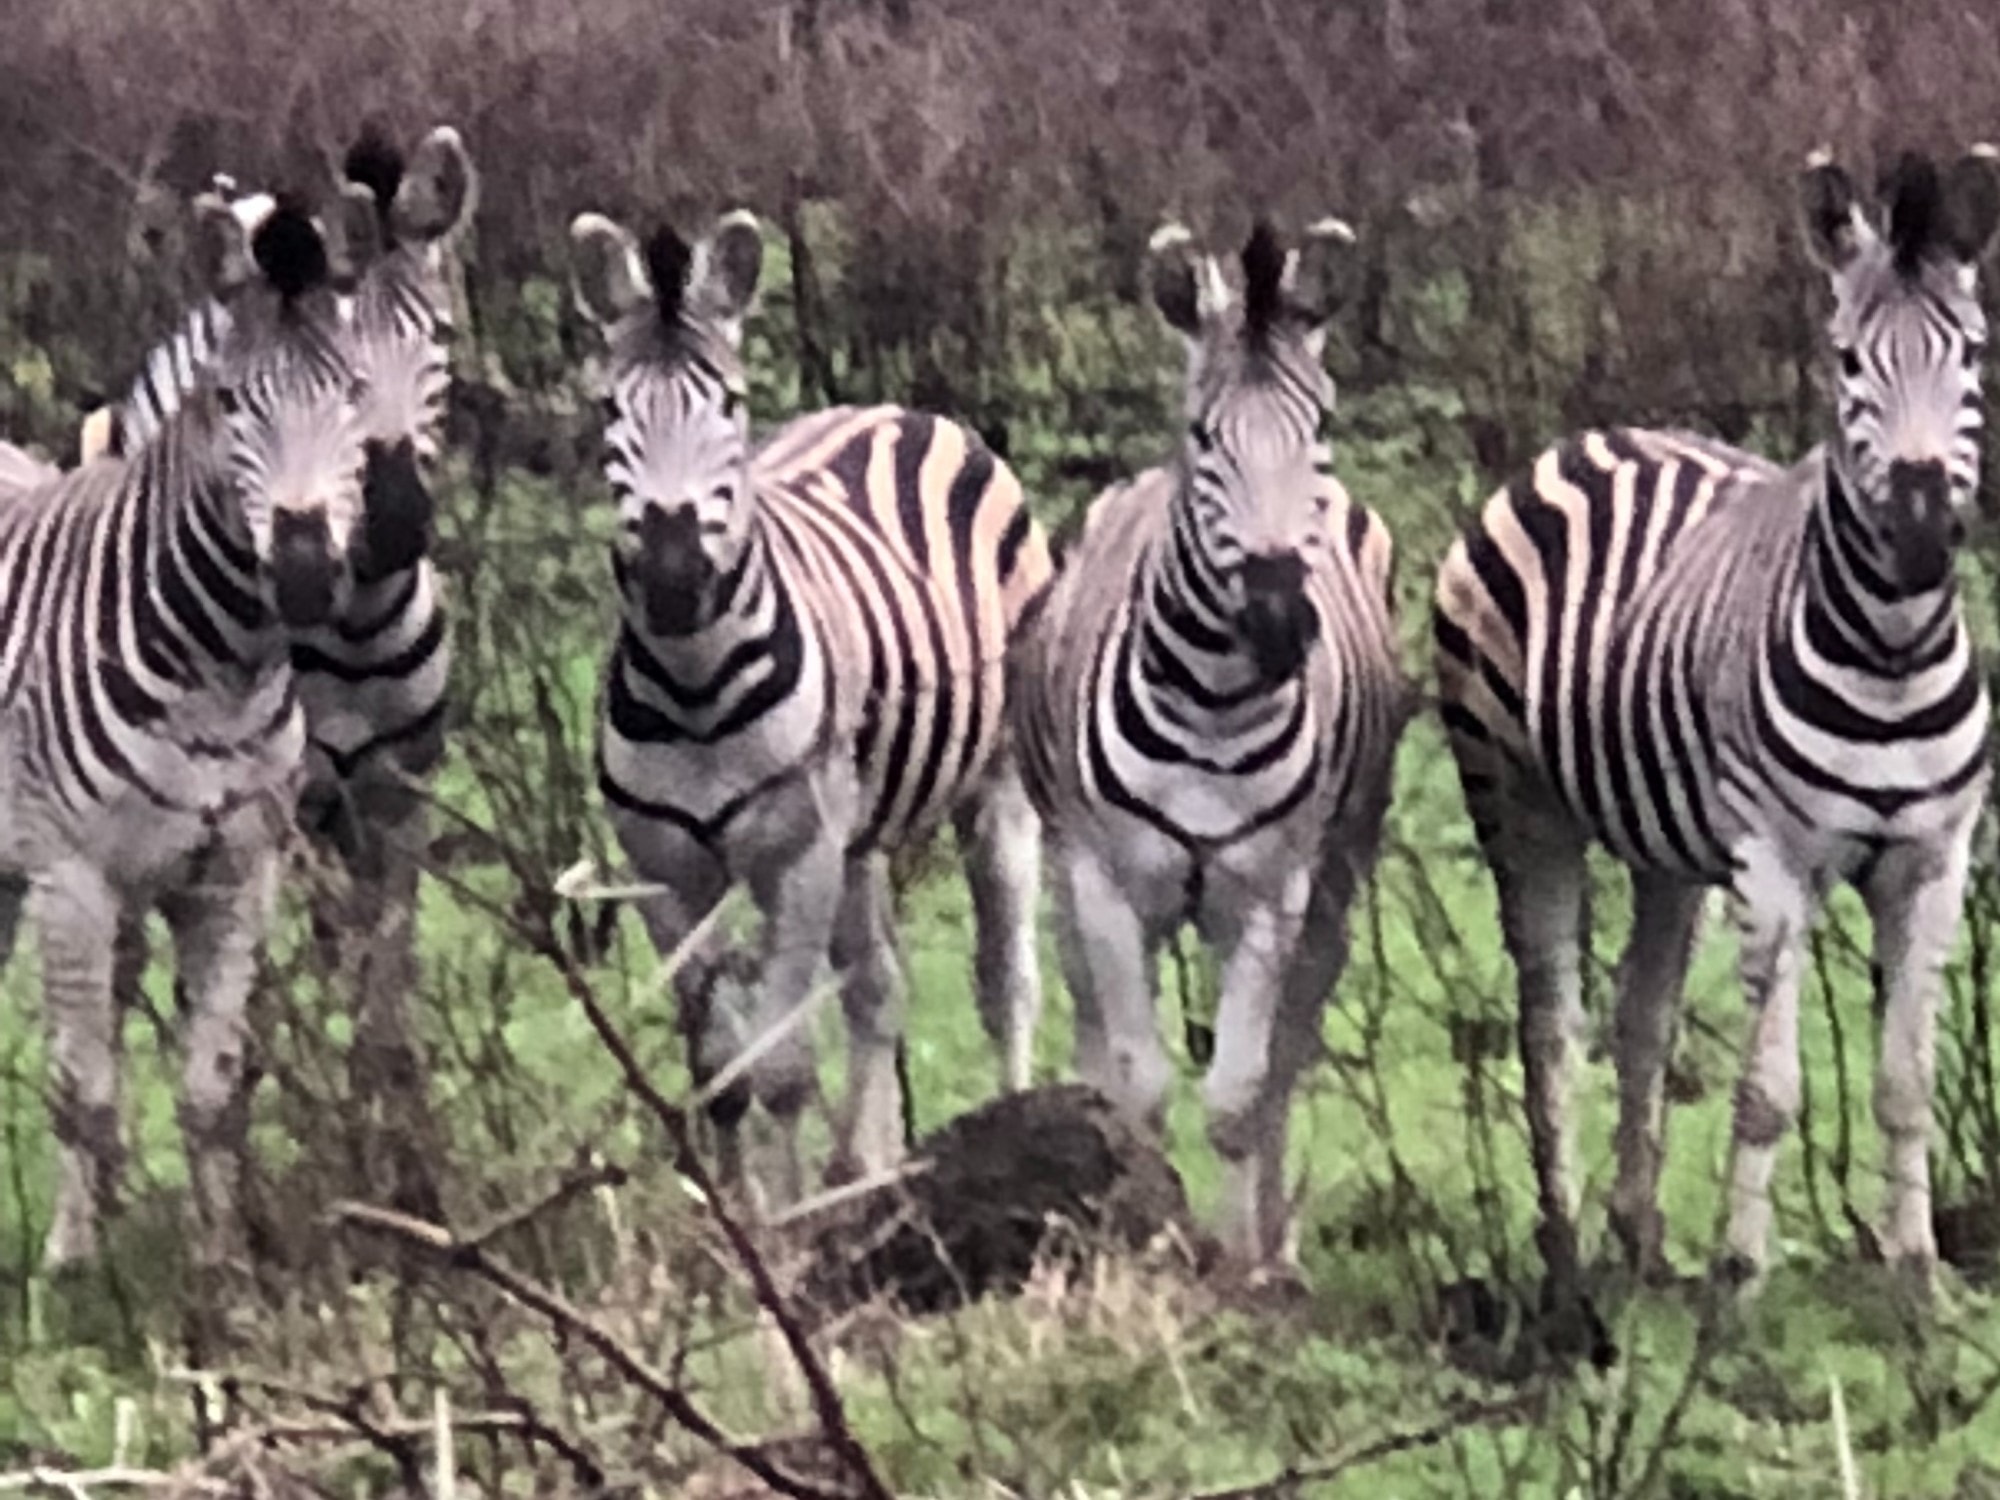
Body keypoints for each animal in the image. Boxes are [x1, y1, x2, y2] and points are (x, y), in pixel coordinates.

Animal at [6, 185, 386, 1272]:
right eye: (230, 402)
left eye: (354, 391)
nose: (303, 570)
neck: (219, 669)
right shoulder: (71, 880)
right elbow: (84, 1094)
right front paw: (78, 1273)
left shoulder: (235, 880)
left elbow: (213, 1093)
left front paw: (224, 1272)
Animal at [572, 212, 1056, 1208]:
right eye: (610, 412)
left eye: (729, 405)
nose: (674, 578)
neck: (693, 687)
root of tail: (895, 410)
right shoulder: (664, 872)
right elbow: (720, 1075)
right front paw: (743, 1221)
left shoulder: (795, 853)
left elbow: (783, 1068)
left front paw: (791, 1229)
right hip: (859, 831)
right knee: (879, 987)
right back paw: (861, 1174)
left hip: (989, 787)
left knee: (1006, 980)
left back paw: (1017, 1128)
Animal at [1008, 217, 1416, 1264]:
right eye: (1205, 438)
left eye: (1320, 429)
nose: (1275, 618)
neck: (1215, 705)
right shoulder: (1108, 887)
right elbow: (1141, 1094)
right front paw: (1149, 1237)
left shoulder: (1270, 893)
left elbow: (1240, 1095)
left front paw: (1239, 1262)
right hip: (1066, 877)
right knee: (1094, 1037)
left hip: (1337, 882)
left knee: (1290, 1053)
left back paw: (1279, 1245)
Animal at [1432, 150, 2000, 1296]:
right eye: (1846, 361)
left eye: (1969, 351)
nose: (1922, 528)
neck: (1891, 651)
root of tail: (1592, 437)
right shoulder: (1773, 866)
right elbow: (1767, 1091)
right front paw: (1740, 1278)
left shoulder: (1934, 861)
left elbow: (1905, 1080)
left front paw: (1917, 1280)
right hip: (1516, 802)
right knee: (1549, 1022)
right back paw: (1566, 1256)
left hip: (1667, 850)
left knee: (1640, 1015)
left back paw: (1639, 1237)